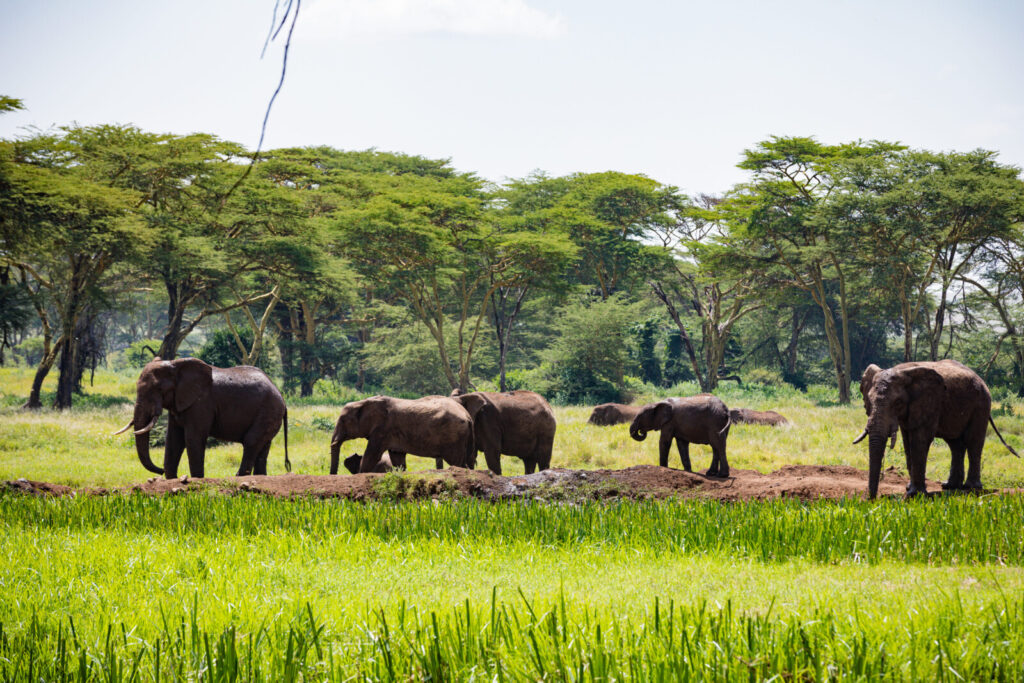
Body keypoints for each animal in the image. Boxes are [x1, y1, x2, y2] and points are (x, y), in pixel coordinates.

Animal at [113, 357, 289, 478]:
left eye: (158, 389)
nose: (160, 470)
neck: (176, 364)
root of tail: (281, 396)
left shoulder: (201, 403)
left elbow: (193, 438)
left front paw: (196, 480)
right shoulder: (179, 403)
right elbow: (174, 440)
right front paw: (172, 480)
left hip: (268, 411)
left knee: (251, 442)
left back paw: (239, 478)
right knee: (263, 446)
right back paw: (261, 477)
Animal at [329, 395, 476, 474]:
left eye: (343, 420)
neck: (363, 402)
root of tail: (467, 416)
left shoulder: (382, 430)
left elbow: (371, 456)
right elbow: (397, 459)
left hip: (453, 438)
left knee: (456, 462)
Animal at [853, 359, 1019, 499]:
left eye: (898, 402)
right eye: (869, 401)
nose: (872, 499)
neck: (901, 371)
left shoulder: (930, 403)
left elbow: (920, 439)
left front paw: (915, 494)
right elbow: (907, 442)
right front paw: (909, 489)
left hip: (981, 405)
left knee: (973, 442)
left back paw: (971, 488)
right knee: (955, 444)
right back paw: (950, 486)